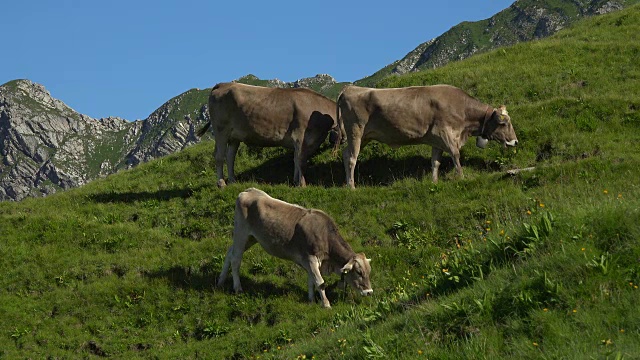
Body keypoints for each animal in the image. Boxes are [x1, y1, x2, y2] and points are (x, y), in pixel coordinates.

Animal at [195, 82, 338, 187]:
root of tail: (223, 84)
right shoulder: (300, 136)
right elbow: (301, 160)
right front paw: (302, 185)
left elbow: (296, 159)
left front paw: (295, 181)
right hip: (221, 130)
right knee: (219, 156)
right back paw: (221, 183)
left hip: (234, 136)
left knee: (230, 157)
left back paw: (232, 181)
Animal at [218, 187, 372, 308]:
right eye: (359, 272)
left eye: (369, 271)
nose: (369, 292)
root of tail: (248, 191)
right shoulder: (311, 258)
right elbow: (319, 282)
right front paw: (326, 304)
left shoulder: (309, 262)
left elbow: (311, 281)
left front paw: (311, 300)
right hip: (241, 233)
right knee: (236, 259)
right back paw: (238, 288)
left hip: (251, 238)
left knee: (229, 252)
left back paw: (221, 280)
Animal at [336, 83, 520, 186]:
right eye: (504, 123)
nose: (515, 141)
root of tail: (349, 88)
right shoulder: (444, 132)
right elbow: (455, 154)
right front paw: (461, 177)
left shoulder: (436, 139)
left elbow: (435, 162)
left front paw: (434, 181)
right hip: (356, 130)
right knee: (352, 158)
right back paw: (351, 186)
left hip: (365, 136)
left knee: (346, 154)